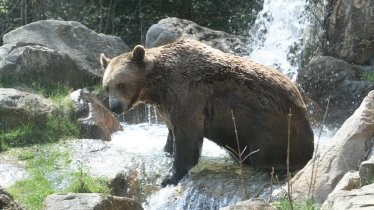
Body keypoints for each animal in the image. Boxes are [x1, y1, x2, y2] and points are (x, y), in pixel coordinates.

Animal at [101, 39, 314, 185]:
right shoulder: (166, 103)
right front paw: (166, 150)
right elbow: (171, 131)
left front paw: (170, 177)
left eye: (121, 84)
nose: (115, 107)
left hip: (273, 126)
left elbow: (187, 137)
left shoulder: (189, 95)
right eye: (106, 86)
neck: (158, 85)